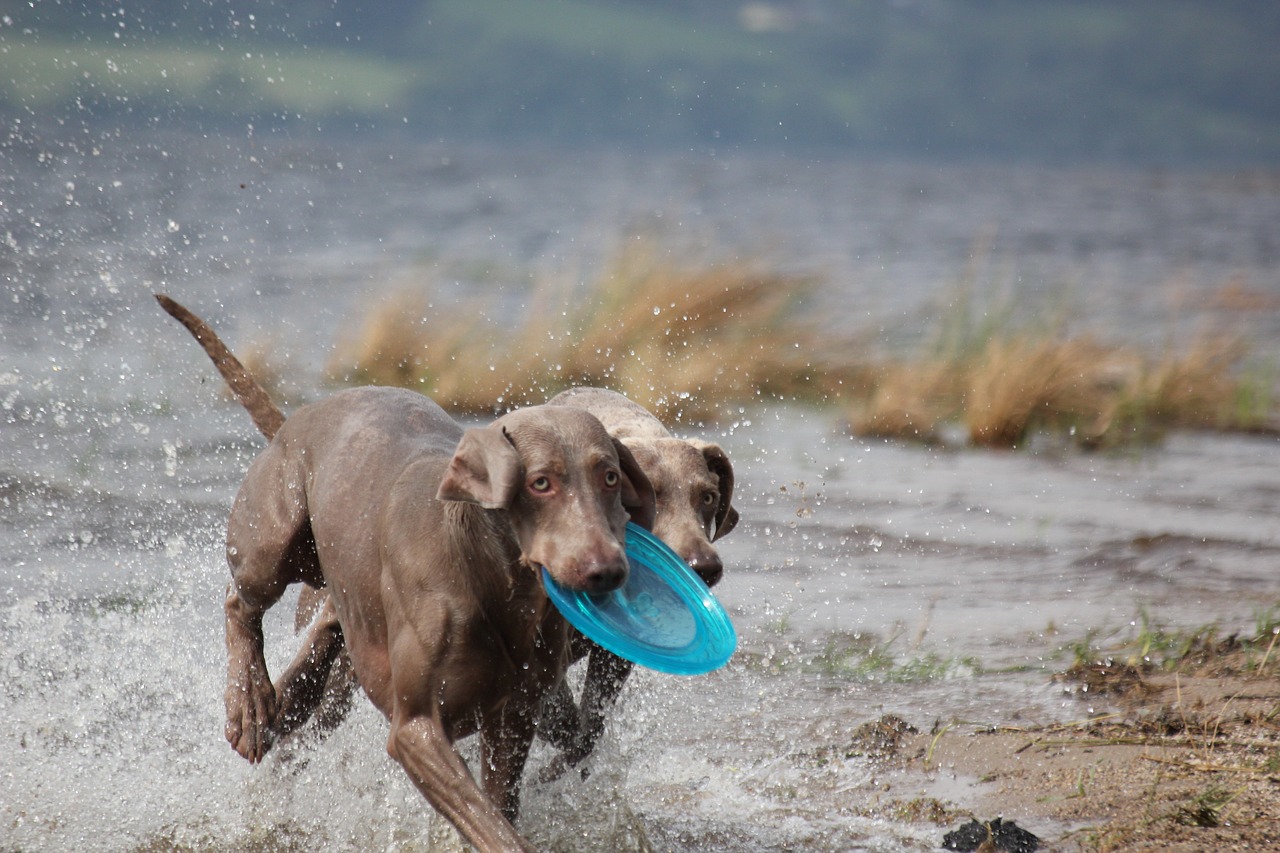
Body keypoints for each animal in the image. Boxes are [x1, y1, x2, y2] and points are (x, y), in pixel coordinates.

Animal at [158, 294, 655, 850]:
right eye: (541, 482)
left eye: (609, 475)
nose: (606, 570)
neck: (492, 575)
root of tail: (306, 412)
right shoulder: (417, 729)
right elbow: (489, 822)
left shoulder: (515, 716)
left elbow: (501, 801)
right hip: (275, 531)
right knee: (241, 600)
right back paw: (249, 703)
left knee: (322, 646)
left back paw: (279, 703)